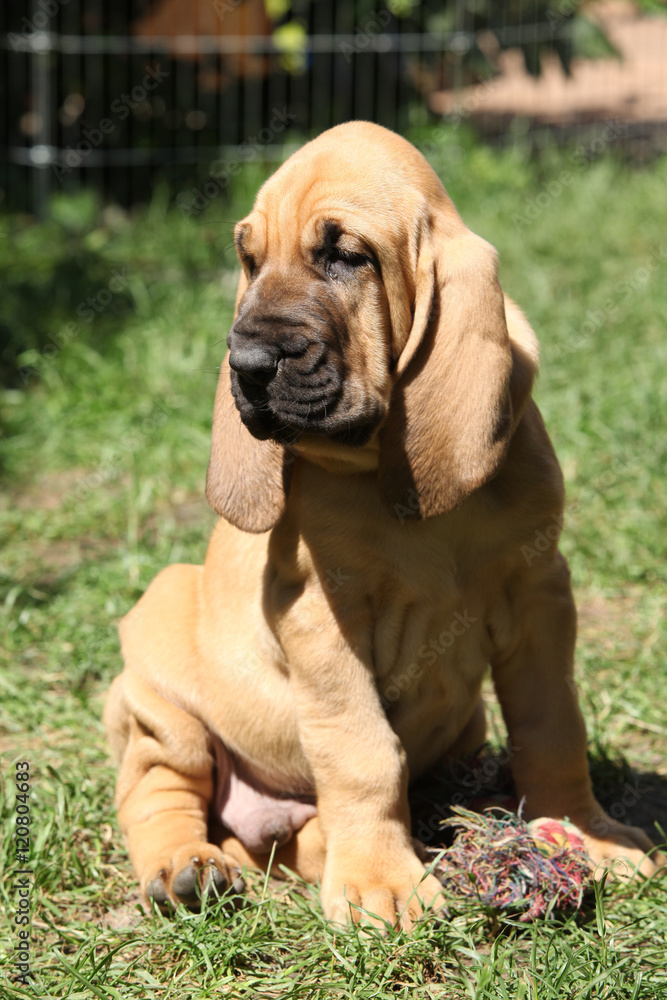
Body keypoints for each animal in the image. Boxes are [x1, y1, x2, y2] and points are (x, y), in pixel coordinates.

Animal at [104, 119, 664, 928]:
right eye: (250, 260)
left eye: (346, 256)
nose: (245, 363)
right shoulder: (321, 615)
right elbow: (362, 750)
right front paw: (381, 885)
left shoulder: (539, 593)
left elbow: (553, 723)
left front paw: (583, 834)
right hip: (158, 676)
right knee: (157, 788)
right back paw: (187, 869)